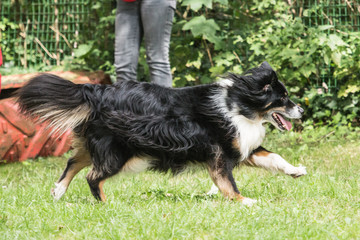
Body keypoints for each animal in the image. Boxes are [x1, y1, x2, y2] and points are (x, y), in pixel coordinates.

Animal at [15, 61, 306, 204]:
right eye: (283, 98)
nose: (302, 110)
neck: (239, 104)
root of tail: (96, 91)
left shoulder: (242, 146)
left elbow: (274, 157)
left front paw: (296, 171)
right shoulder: (220, 155)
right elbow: (228, 184)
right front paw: (245, 201)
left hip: (98, 144)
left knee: (73, 161)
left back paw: (58, 192)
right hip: (118, 153)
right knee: (92, 175)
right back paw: (106, 203)